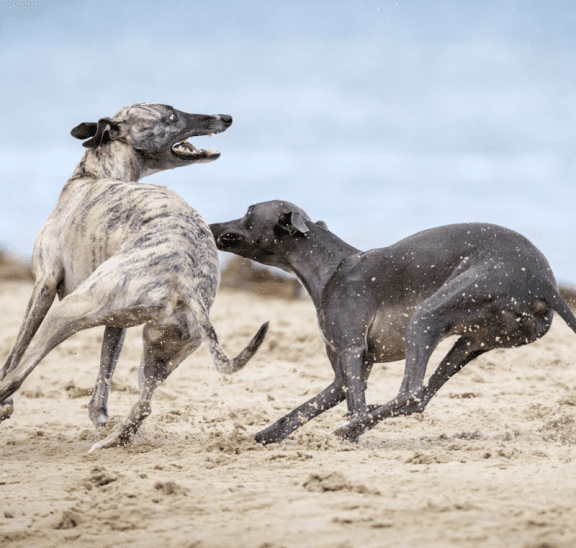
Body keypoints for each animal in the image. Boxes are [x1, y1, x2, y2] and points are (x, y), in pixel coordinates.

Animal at [210, 199, 576, 444]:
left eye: (248, 212)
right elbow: (305, 408)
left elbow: (353, 404)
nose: (210, 226)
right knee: (421, 398)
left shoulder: (353, 350)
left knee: (410, 394)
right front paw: (266, 435)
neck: (331, 268)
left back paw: (354, 426)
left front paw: (352, 435)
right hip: (471, 341)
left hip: (427, 316)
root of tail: (545, 282)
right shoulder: (345, 373)